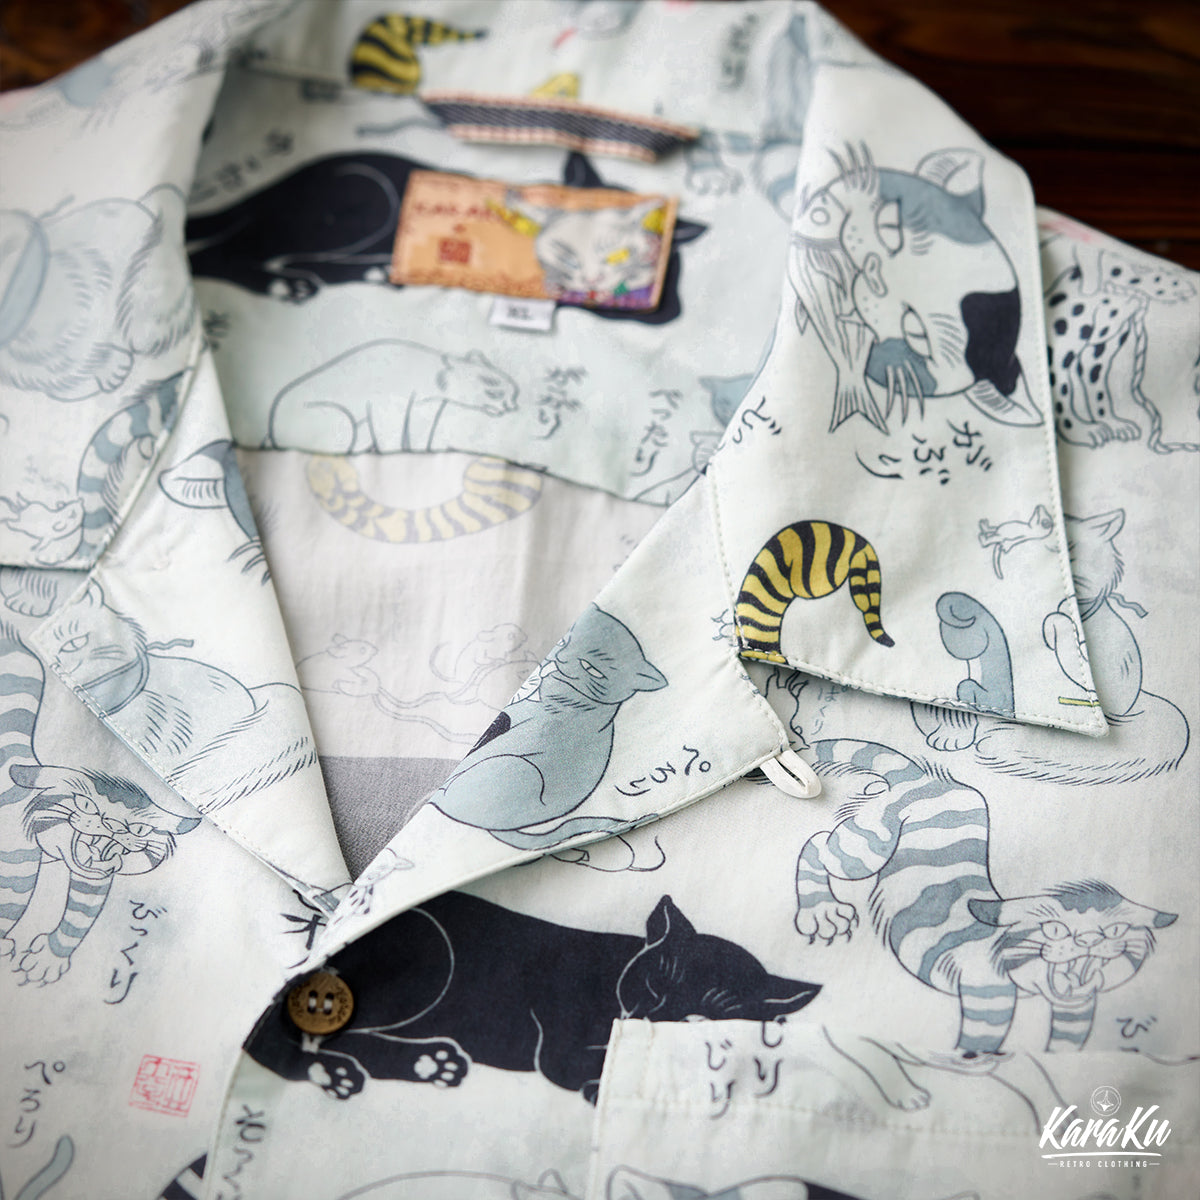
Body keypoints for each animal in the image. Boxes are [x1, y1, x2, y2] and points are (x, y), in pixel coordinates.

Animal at [0, 622, 197, 986]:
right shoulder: (14, 850)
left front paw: (48, 958)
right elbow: (12, 889)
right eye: (87, 805)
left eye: (138, 828)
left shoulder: (97, 873)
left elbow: (80, 914)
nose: (113, 826)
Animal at [246, 890, 820, 1104]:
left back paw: (430, 1063)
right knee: (319, 1040)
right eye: (655, 983)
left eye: (697, 1020)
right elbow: (578, 1065)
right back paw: (348, 1071)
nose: (643, 1018)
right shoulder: (559, 1045)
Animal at [794, 738, 1176, 1054]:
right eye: (1054, 930)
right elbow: (979, 1043)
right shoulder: (987, 992)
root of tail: (924, 778)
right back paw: (821, 910)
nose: (1088, 940)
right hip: (870, 844)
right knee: (818, 844)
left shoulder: (1078, 1003)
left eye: (1116, 931)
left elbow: (1067, 1040)